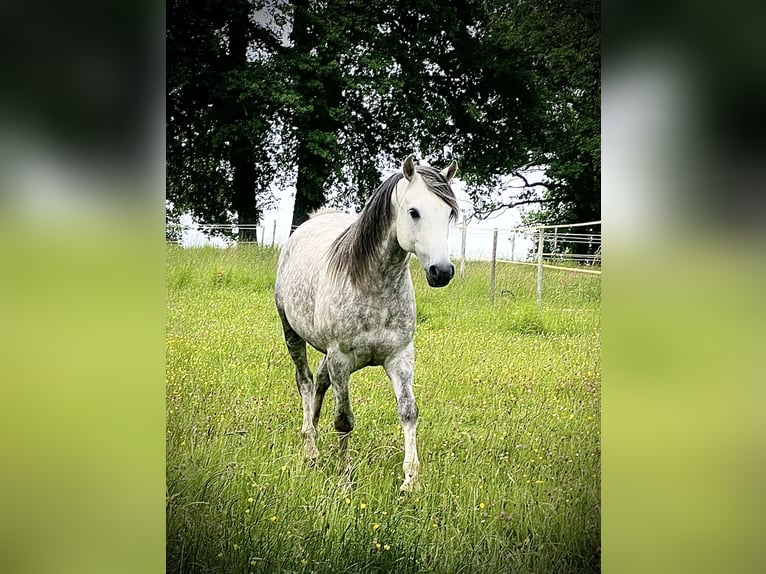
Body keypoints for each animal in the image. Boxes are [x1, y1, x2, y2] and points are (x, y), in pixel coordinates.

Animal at [274, 155, 459, 492]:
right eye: (413, 211)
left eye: (449, 213)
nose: (441, 271)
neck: (373, 286)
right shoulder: (341, 359)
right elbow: (344, 419)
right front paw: (344, 476)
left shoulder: (400, 357)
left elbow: (408, 412)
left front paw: (410, 480)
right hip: (291, 332)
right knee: (305, 381)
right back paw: (310, 447)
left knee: (319, 381)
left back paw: (314, 429)